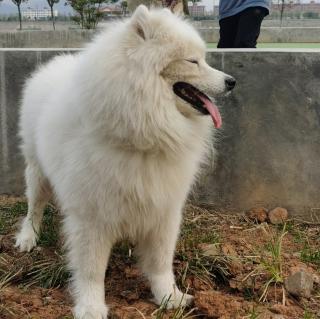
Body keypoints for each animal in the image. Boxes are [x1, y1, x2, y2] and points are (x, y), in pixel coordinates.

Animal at [15, 5, 235, 319]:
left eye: (204, 59)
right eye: (193, 61)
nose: (232, 82)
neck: (142, 135)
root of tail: (56, 63)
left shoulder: (164, 210)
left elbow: (160, 262)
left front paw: (169, 296)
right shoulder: (91, 217)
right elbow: (91, 270)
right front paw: (91, 306)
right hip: (36, 171)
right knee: (34, 207)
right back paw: (28, 237)